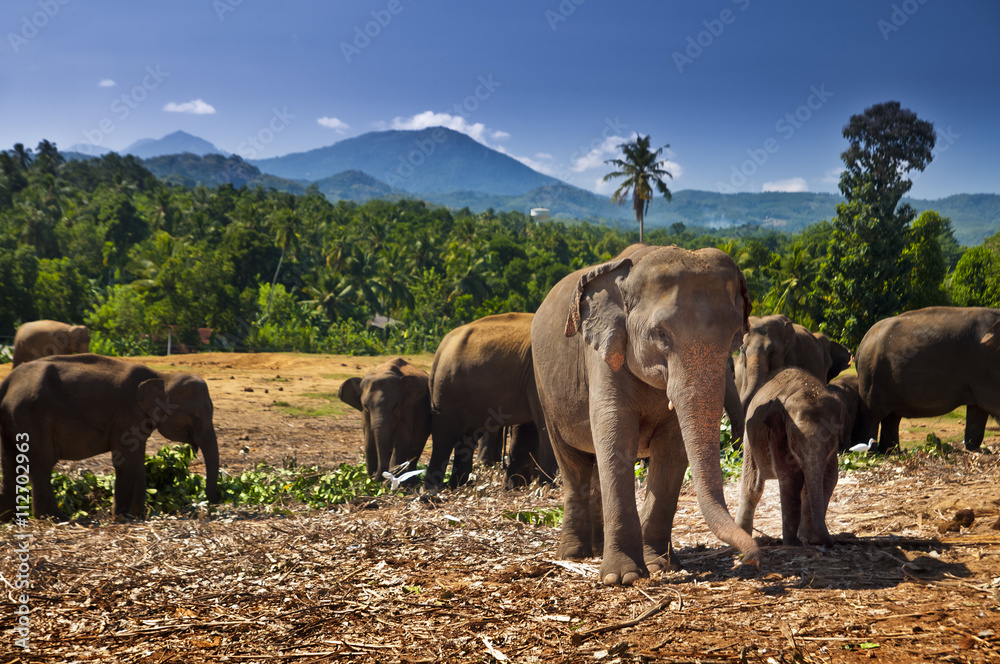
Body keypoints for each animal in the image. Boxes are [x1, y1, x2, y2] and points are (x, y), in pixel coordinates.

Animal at [0, 354, 220, 520]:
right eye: (195, 415)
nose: (212, 504)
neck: (162, 377)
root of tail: (7, 382)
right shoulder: (127, 413)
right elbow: (127, 461)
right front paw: (122, 517)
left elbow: (138, 461)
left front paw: (138, 515)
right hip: (31, 416)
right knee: (42, 463)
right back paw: (55, 518)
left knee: (10, 463)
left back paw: (9, 518)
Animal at [425, 312, 557, 490]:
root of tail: (441, 348)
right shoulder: (536, 377)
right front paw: (547, 487)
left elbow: (530, 429)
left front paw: (513, 487)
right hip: (446, 390)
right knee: (444, 438)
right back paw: (432, 489)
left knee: (466, 439)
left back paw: (459, 485)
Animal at [531, 244, 758, 586]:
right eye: (660, 334)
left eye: (735, 335)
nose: (750, 559)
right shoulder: (603, 354)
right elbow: (615, 434)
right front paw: (622, 577)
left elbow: (673, 448)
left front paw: (660, 566)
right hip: (545, 391)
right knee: (573, 464)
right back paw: (574, 554)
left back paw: (597, 548)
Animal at [735, 368, 844, 547]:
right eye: (794, 438)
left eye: (832, 437)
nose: (830, 542)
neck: (808, 388)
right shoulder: (777, 434)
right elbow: (791, 478)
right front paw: (794, 544)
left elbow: (829, 477)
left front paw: (810, 540)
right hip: (749, 439)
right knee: (753, 486)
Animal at [855, 306, 1000, 453]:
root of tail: (862, 344)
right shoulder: (987, 364)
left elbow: (978, 411)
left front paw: (975, 450)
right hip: (872, 375)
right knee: (872, 415)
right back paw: (871, 453)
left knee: (892, 418)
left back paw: (890, 452)